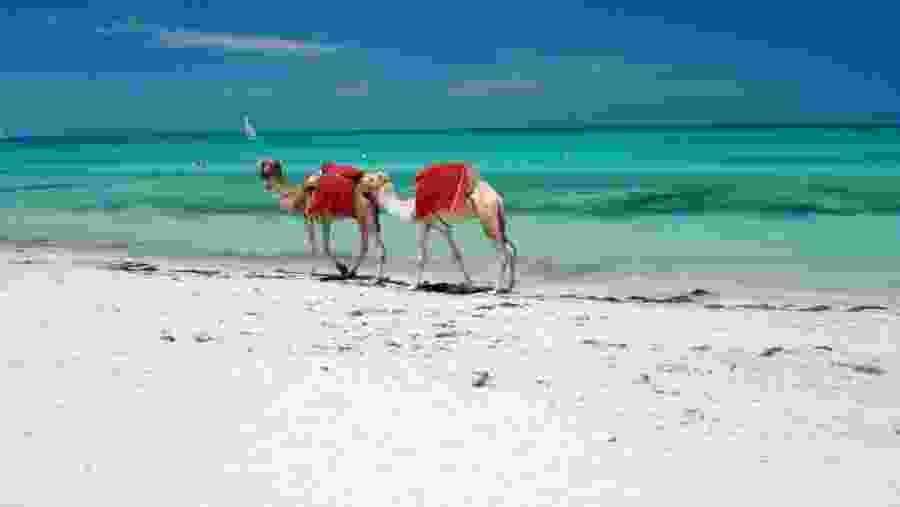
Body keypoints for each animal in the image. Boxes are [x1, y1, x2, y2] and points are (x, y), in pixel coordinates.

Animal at [257, 159, 386, 281]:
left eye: (271, 165)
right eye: (264, 164)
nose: (264, 174)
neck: (299, 195)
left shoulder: (317, 216)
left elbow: (319, 245)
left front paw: (316, 271)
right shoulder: (319, 218)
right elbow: (321, 245)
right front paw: (343, 269)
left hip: (365, 213)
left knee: (377, 246)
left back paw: (375, 279)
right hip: (364, 216)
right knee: (365, 245)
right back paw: (352, 273)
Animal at [358, 162, 518, 294]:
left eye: (371, 178)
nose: (360, 180)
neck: (409, 208)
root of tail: (497, 198)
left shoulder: (422, 223)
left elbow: (421, 255)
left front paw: (413, 286)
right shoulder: (439, 225)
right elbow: (456, 254)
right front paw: (470, 285)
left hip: (487, 217)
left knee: (502, 253)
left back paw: (495, 289)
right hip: (498, 219)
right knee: (510, 247)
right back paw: (509, 287)